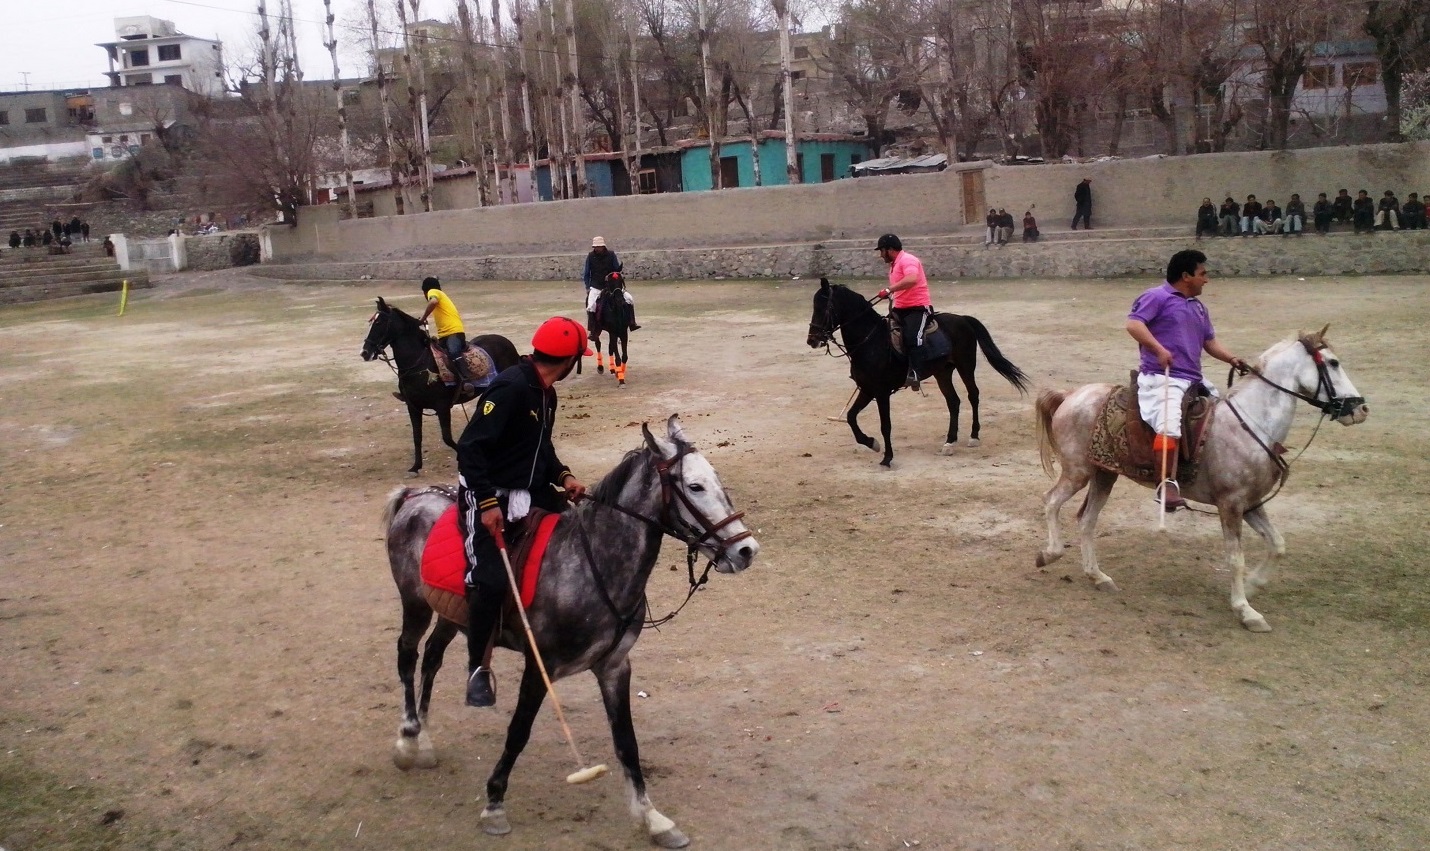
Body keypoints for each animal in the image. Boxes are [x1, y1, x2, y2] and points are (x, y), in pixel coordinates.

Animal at [363, 297, 520, 471]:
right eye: (371, 322)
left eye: (379, 323)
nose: (365, 352)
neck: (419, 365)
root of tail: (507, 342)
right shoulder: (413, 406)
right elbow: (417, 436)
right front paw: (416, 466)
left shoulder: (442, 406)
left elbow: (447, 438)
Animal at [380, 411, 760, 846]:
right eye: (694, 486)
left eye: (716, 479)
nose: (746, 550)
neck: (593, 563)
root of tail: (414, 496)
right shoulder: (539, 667)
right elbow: (518, 732)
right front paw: (494, 804)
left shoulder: (614, 667)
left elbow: (627, 743)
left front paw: (652, 817)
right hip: (415, 604)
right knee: (408, 655)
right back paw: (408, 737)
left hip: (451, 614)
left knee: (432, 657)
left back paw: (424, 738)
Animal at [806, 277, 1029, 466]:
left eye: (823, 307)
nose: (812, 340)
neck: (870, 340)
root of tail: (963, 319)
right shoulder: (867, 389)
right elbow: (851, 417)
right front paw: (871, 443)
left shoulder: (881, 393)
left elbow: (885, 425)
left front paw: (887, 457)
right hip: (943, 372)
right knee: (953, 401)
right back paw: (949, 441)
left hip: (966, 365)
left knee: (973, 395)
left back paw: (974, 436)